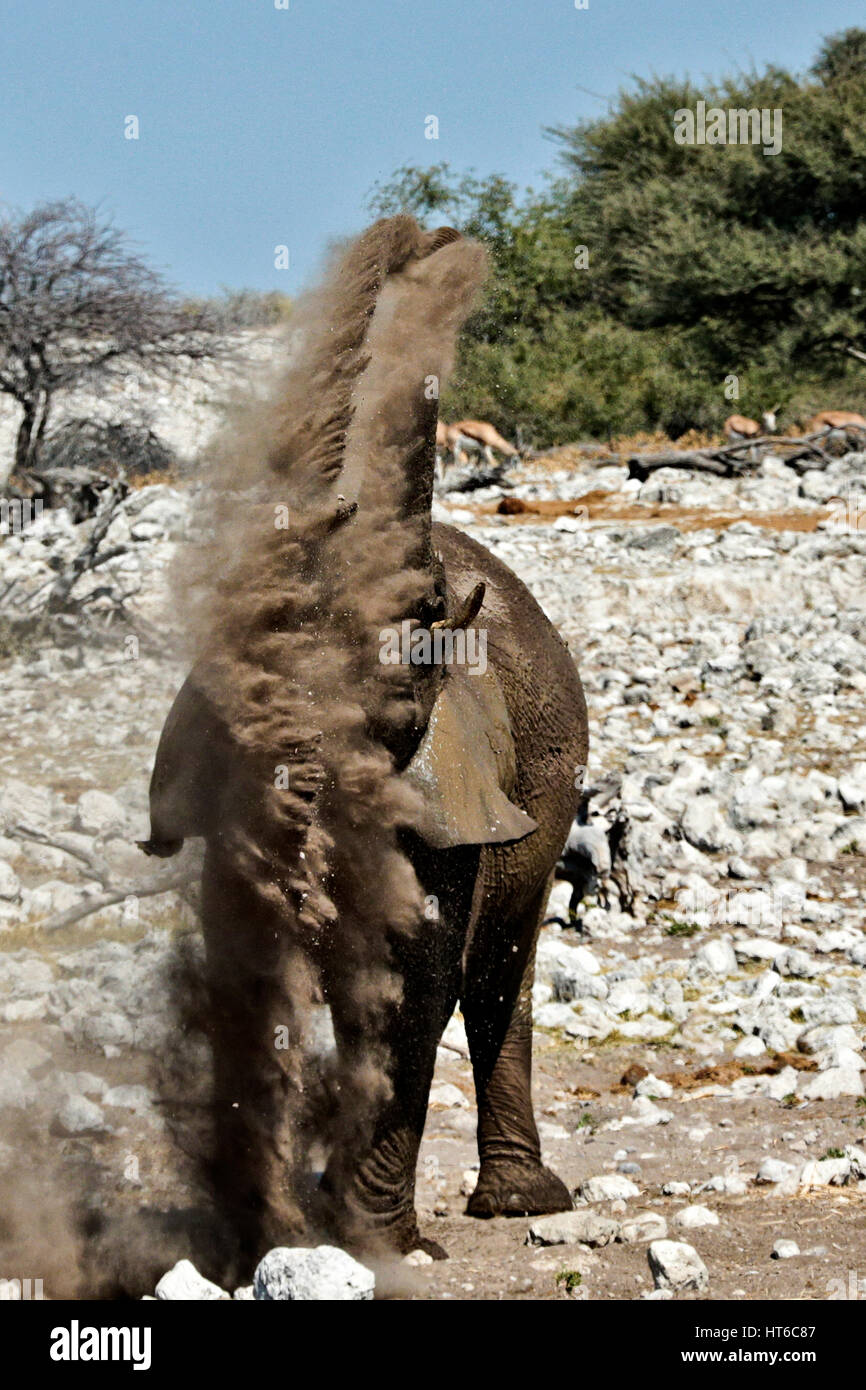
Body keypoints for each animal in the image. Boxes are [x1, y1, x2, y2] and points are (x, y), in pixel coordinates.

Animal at [140, 215, 588, 1268]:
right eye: (237, 709)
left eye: (396, 713)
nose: (427, 238)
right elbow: (243, 972)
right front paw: (257, 1244)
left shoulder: (447, 792)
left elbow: (410, 976)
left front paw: (380, 1246)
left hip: (547, 798)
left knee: (499, 965)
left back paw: (522, 1205)